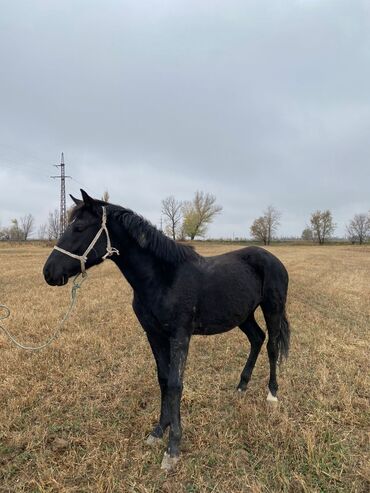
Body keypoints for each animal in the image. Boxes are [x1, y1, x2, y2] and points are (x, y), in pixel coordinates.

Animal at [42, 189, 288, 468]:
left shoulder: (180, 336)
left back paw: (272, 396)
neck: (163, 278)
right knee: (257, 339)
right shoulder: (154, 334)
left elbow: (175, 384)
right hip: (243, 315)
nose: (49, 273)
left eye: (79, 227)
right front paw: (159, 430)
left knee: (272, 346)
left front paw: (173, 448)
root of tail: (272, 259)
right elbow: (162, 379)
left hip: (272, 309)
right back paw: (241, 387)